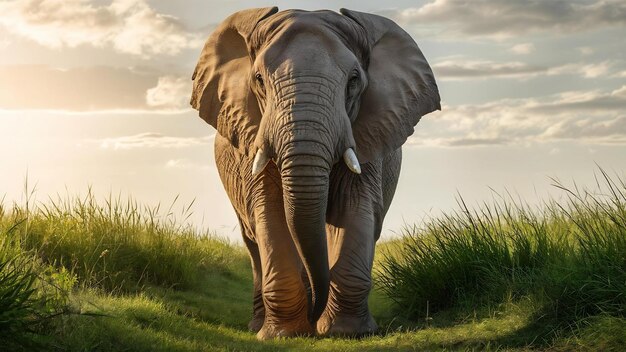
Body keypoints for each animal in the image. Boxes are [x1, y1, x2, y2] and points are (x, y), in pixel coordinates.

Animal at [190, 6, 438, 340]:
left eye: (354, 80)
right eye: (259, 80)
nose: (313, 313)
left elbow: (355, 209)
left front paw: (348, 332)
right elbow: (271, 213)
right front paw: (284, 335)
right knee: (253, 239)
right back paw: (262, 324)